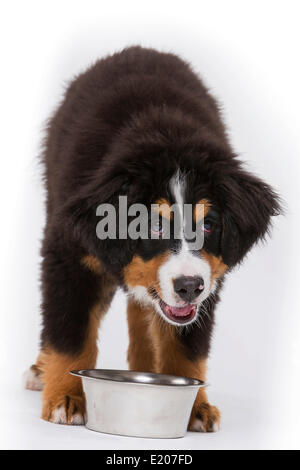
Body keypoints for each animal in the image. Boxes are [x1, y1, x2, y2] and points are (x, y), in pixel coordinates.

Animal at [24, 46, 280, 432]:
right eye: (153, 227)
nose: (189, 286)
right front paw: (65, 399)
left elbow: (186, 347)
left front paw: (196, 406)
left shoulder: (210, 281)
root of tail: (138, 49)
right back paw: (41, 371)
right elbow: (70, 332)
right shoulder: (70, 254)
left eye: (208, 225)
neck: (163, 136)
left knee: (143, 312)